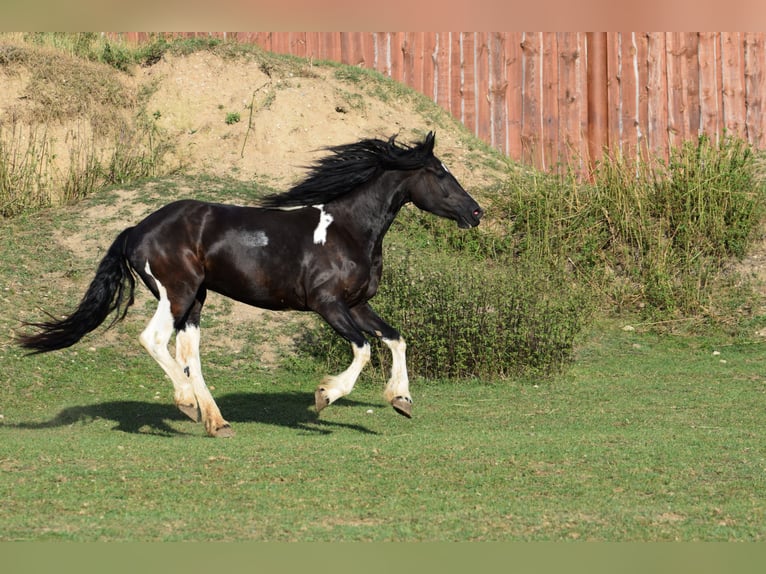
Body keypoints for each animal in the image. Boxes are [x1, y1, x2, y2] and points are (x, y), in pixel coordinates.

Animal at [16, 132, 486, 436]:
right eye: (439, 174)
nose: (476, 212)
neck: (348, 230)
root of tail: (137, 229)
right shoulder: (328, 305)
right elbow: (365, 349)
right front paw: (325, 396)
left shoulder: (357, 305)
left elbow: (396, 338)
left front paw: (401, 400)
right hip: (177, 293)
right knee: (154, 340)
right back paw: (186, 403)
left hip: (197, 300)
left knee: (188, 353)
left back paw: (216, 421)